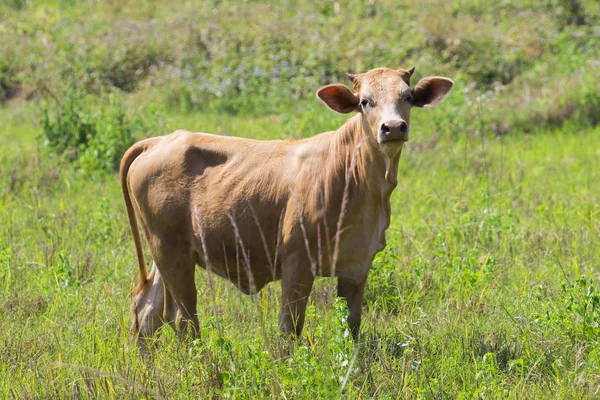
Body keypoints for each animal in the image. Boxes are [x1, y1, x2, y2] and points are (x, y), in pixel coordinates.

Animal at [120, 66, 450, 350]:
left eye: (407, 96)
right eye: (364, 102)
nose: (393, 127)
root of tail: (160, 140)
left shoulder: (357, 265)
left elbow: (351, 327)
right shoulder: (297, 262)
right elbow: (289, 329)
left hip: (169, 251)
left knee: (148, 309)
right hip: (170, 250)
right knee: (182, 317)